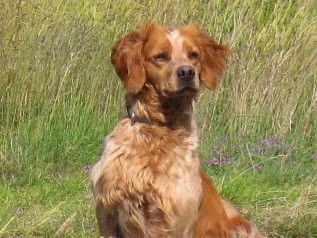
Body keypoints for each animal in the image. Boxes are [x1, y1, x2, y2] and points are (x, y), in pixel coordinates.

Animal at [90, 22, 262, 238]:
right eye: (160, 56)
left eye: (194, 55)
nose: (187, 72)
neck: (161, 129)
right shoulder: (108, 214)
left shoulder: (177, 219)